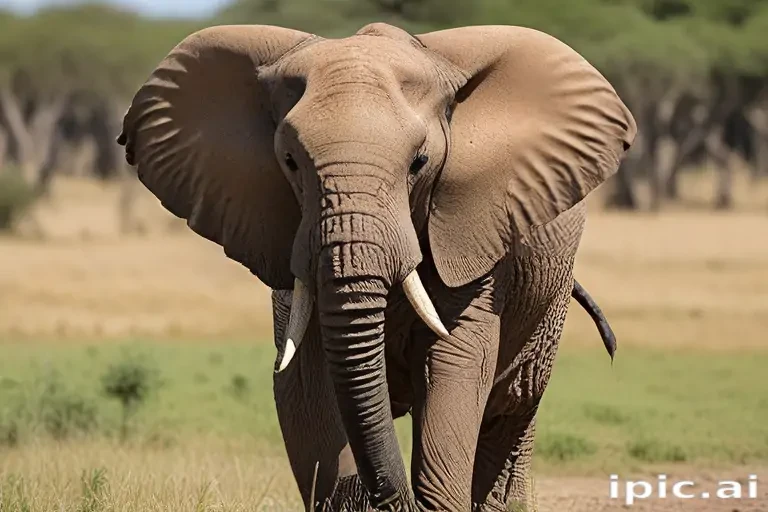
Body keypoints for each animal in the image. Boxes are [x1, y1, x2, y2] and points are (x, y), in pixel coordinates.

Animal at [117, 22, 636, 512]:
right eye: (289, 162)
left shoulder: (474, 237)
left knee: (512, 409)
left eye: (420, 162)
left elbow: (455, 364)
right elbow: (305, 383)